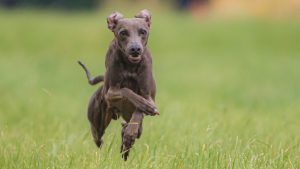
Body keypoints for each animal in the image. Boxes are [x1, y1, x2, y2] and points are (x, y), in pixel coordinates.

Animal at [78, 9, 159, 161]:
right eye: (123, 32)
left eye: (143, 31)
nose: (135, 49)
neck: (131, 65)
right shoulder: (111, 92)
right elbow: (126, 90)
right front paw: (145, 106)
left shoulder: (148, 95)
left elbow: (139, 111)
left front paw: (130, 133)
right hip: (98, 122)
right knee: (98, 137)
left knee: (132, 129)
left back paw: (126, 139)